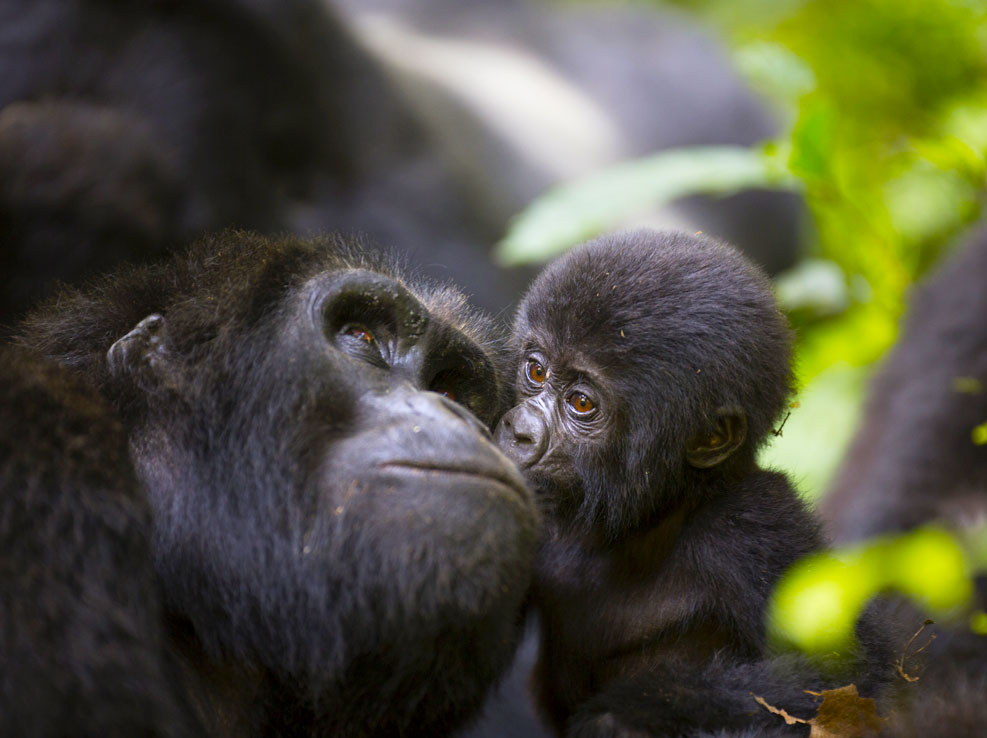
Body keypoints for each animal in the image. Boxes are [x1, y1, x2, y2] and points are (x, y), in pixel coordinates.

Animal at [494, 231, 824, 736]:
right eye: (536, 371)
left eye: (582, 403)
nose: (519, 431)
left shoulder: (754, 524)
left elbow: (843, 680)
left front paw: (619, 713)